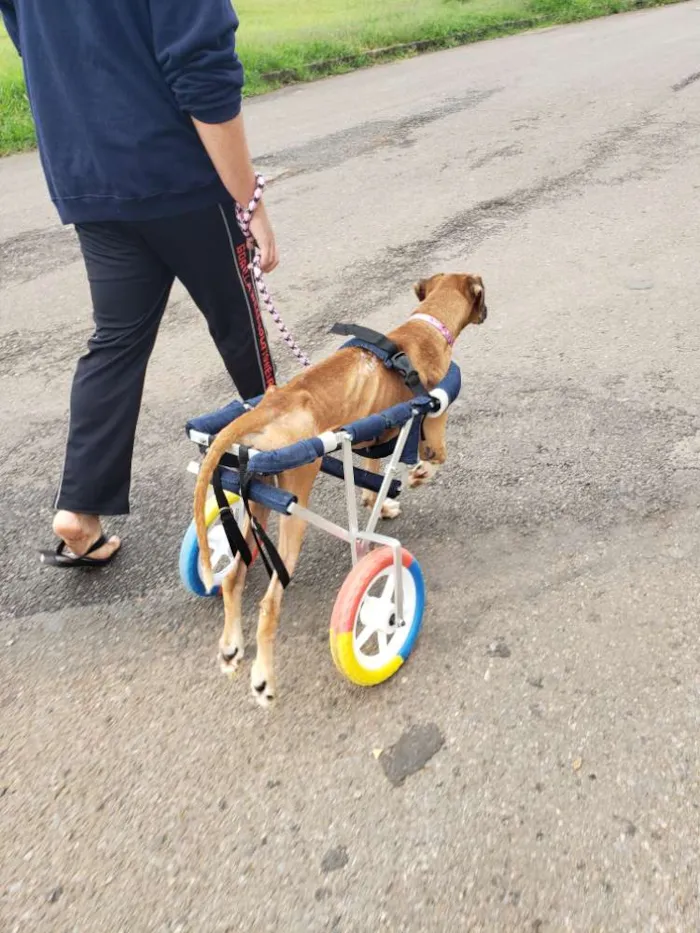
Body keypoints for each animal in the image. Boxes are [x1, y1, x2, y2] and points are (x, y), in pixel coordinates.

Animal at [193, 274, 486, 704]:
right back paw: (263, 680)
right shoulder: (434, 420)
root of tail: (268, 405)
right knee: (268, 605)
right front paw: (418, 476)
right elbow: (436, 458)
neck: (425, 325)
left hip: (259, 497)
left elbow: (374, 472)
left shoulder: (375, 434)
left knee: (233, 577)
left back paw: (231, 647)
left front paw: (380, 501)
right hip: (293, 508)